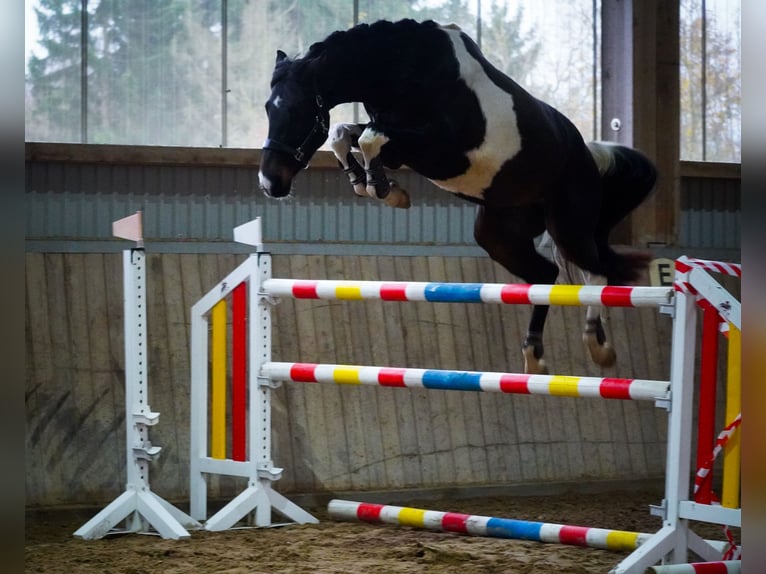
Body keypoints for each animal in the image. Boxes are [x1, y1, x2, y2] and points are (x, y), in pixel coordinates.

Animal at [258, 19, 657, 374]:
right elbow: (345, 133)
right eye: (267, 108)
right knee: (548, 273)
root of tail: (588, 156)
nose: (268, 183)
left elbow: (370, 137)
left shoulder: (439, 148)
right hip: (498, 235)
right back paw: (533, 355)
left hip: (569, 226)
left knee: (597, 274)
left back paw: (598, 347)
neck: (405, 71)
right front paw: (373, 185)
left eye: (296, 109)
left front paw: (384, 189)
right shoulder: (399, 139)